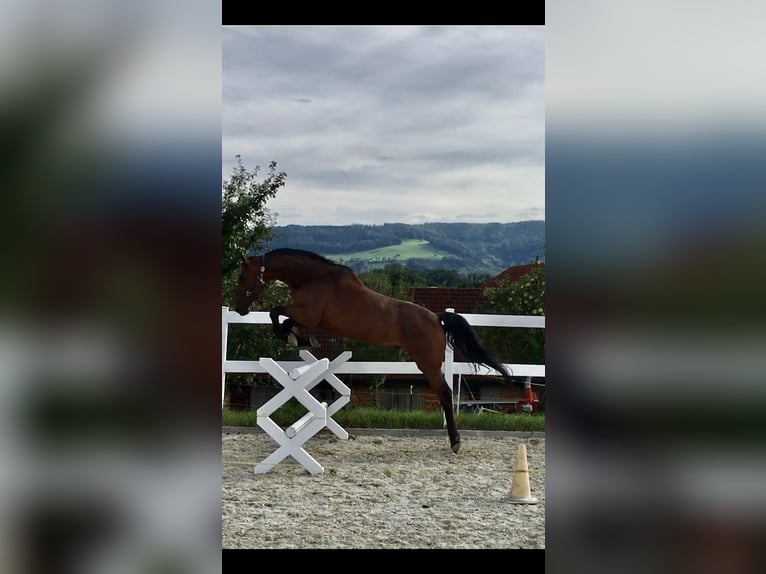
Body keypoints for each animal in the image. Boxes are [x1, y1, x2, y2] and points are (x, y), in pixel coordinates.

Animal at [230, 248, 516, 454]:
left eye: (243, 276)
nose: (240, 309)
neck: (313, 278)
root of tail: (437, 318)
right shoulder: (308, 318)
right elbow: (285, 320)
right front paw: (301, 339)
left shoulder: (308, 314)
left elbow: (275, 313)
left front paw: (292, 338)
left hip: (428, 365)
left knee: (445, 395)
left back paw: (455, 442)